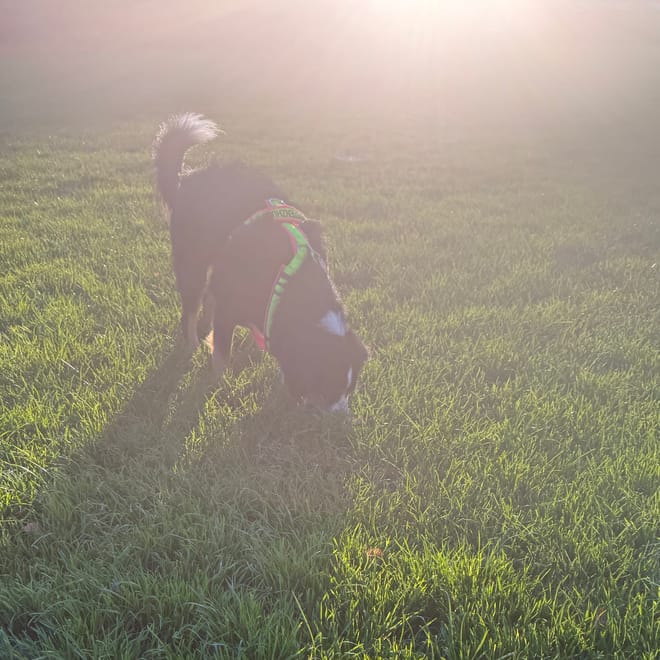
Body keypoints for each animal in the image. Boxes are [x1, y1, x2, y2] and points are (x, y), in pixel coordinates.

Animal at [154, 114, 368, 412]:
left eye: (350, 389)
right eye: (328, 389)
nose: (342, 418)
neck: (289, 279)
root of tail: (187, 179)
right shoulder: (230, 308)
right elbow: (222, 353)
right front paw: (218, 384)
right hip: (192, 263)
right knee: (191, 309)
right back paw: (192, 343)